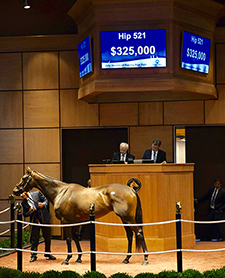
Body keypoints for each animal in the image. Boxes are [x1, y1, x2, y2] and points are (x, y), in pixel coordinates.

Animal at [13, 167, 149, 264]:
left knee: (139, 233)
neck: (61, 192)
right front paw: (78, 258)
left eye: (24, 178)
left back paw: (145, 259)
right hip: (124, 219)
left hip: (128, 218)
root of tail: (131, 189)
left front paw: (67, 259)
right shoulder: (74, 222)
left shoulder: (66, 221)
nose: (15, 190)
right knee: (130, 236)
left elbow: (69, 239)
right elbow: (76, 238)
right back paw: (126, 259)